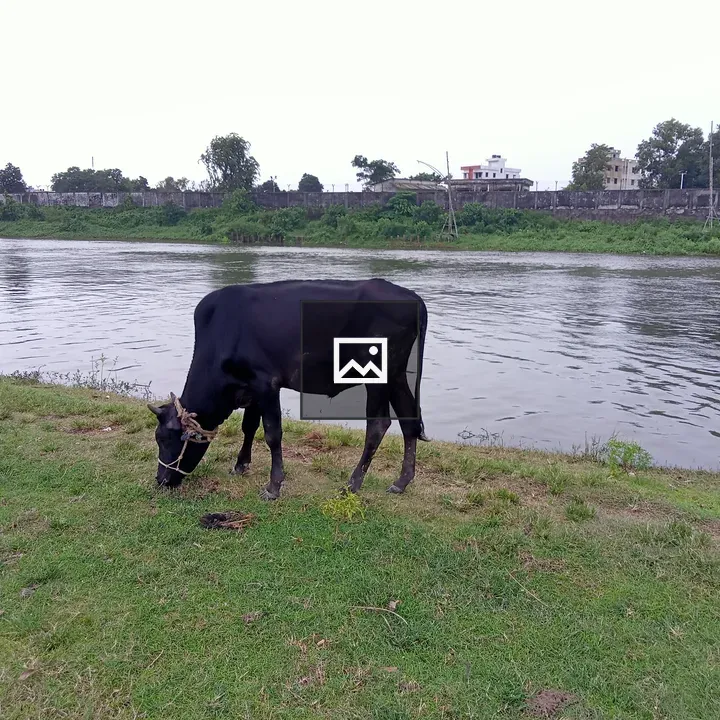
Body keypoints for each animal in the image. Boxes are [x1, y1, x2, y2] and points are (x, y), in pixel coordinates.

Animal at [148, 278, 428, 500]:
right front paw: (240, 465)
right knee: (408, 421)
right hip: (397, 374)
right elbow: (249, 427)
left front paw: (273, 486)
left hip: (378, 374)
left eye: (164, 439)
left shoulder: (267, 384)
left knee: (378, 425)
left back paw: (352, 484)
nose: (161, 480)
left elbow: (272, 434)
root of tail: (413, 298)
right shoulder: (250, 388)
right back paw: (401, 482)